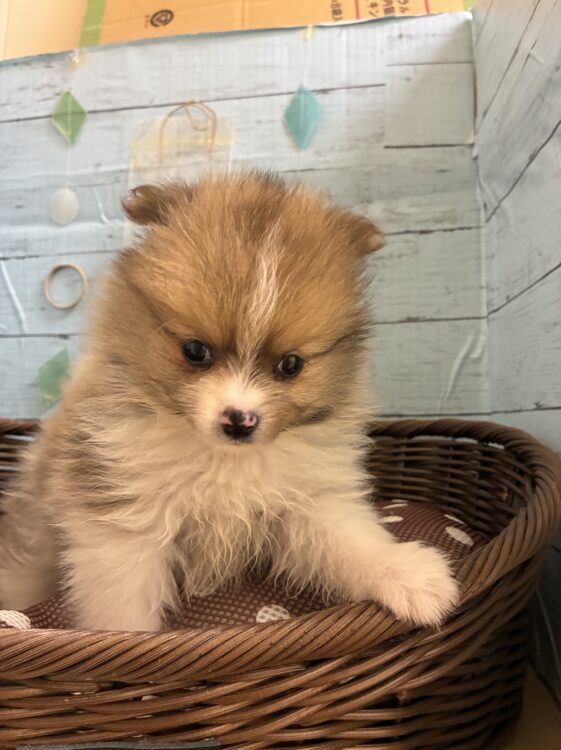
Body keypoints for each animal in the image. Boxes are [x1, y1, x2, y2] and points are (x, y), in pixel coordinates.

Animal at [0, 173, 458, 631]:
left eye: (291, 364)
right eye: (195, 350)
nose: (240, 420)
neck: (224, 461)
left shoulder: (309, 502)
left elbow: (351, 541)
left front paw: (406, 574)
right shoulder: (125, 526)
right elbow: (124, 610)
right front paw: (127, 643)